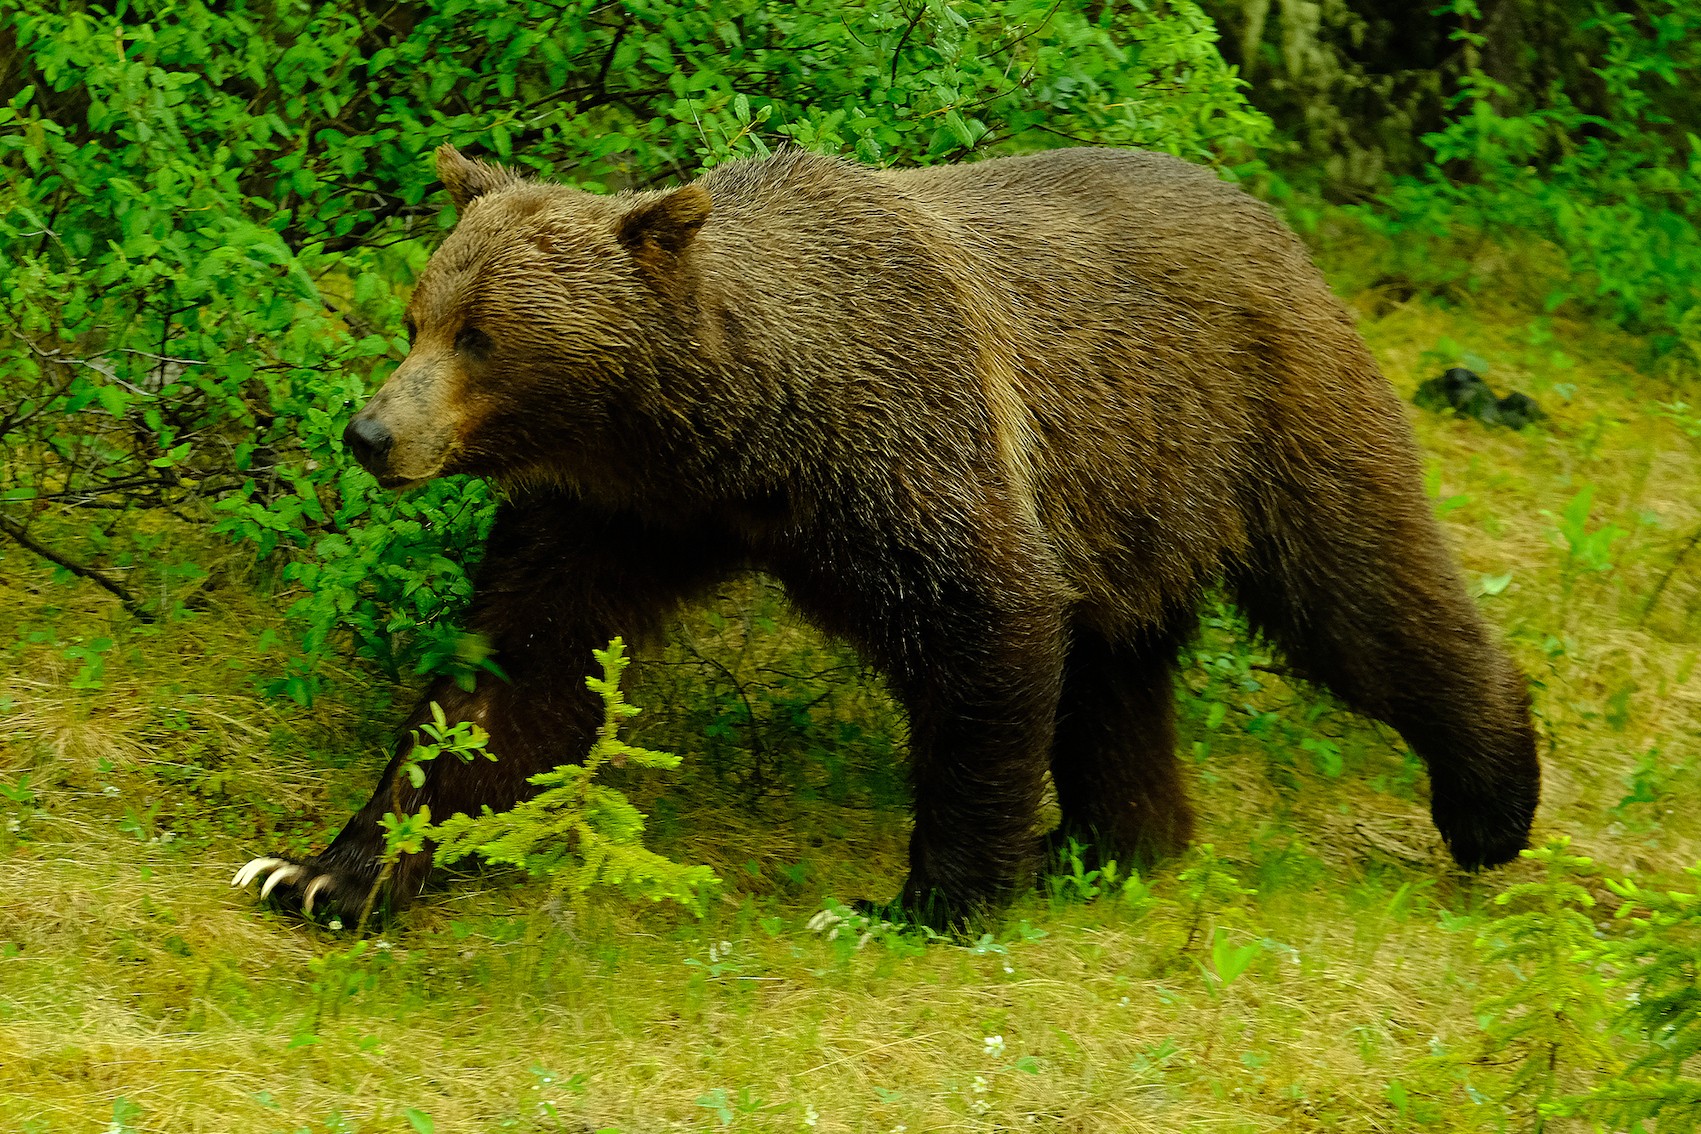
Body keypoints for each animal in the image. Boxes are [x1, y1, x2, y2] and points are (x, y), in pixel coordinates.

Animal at [234, 143, 1541, 928]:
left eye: (483, 338)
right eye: (419, 314)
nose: (371, 431)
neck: (739, 436)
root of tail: (1274, 219)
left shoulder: (908, 446)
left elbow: (987, 624)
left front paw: (922, 900)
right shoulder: (619, 512)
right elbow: (512, 674)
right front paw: (314, 871)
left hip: (1263, 411)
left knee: (1363, 593)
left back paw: (1491, 801)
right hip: (1129, 501)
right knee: (1117, 671)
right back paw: (1113, 842)